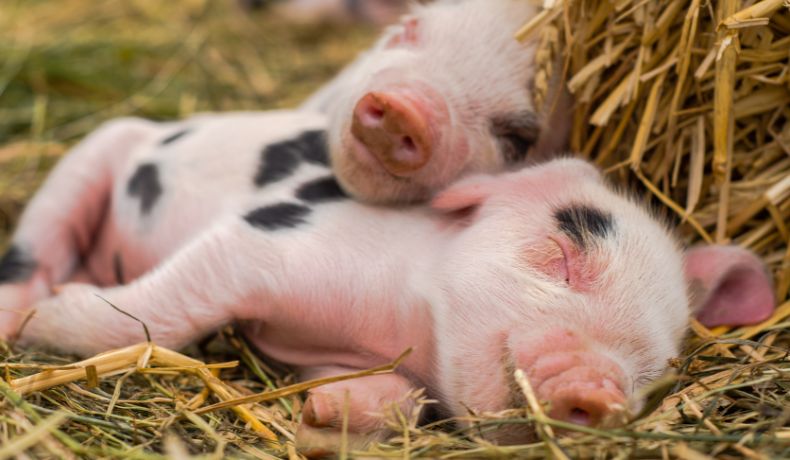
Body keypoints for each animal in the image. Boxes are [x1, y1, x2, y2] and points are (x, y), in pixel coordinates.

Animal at [0, 111, 775, 452]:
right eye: (562, 252)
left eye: (655, 370)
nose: (597, 388)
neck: (397, 322)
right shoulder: (261, 241)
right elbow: (169, 309)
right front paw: (57, 318)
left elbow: (399, 400)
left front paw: (320, 416)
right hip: (90, 155)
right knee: (34, 247)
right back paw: (27, 311)